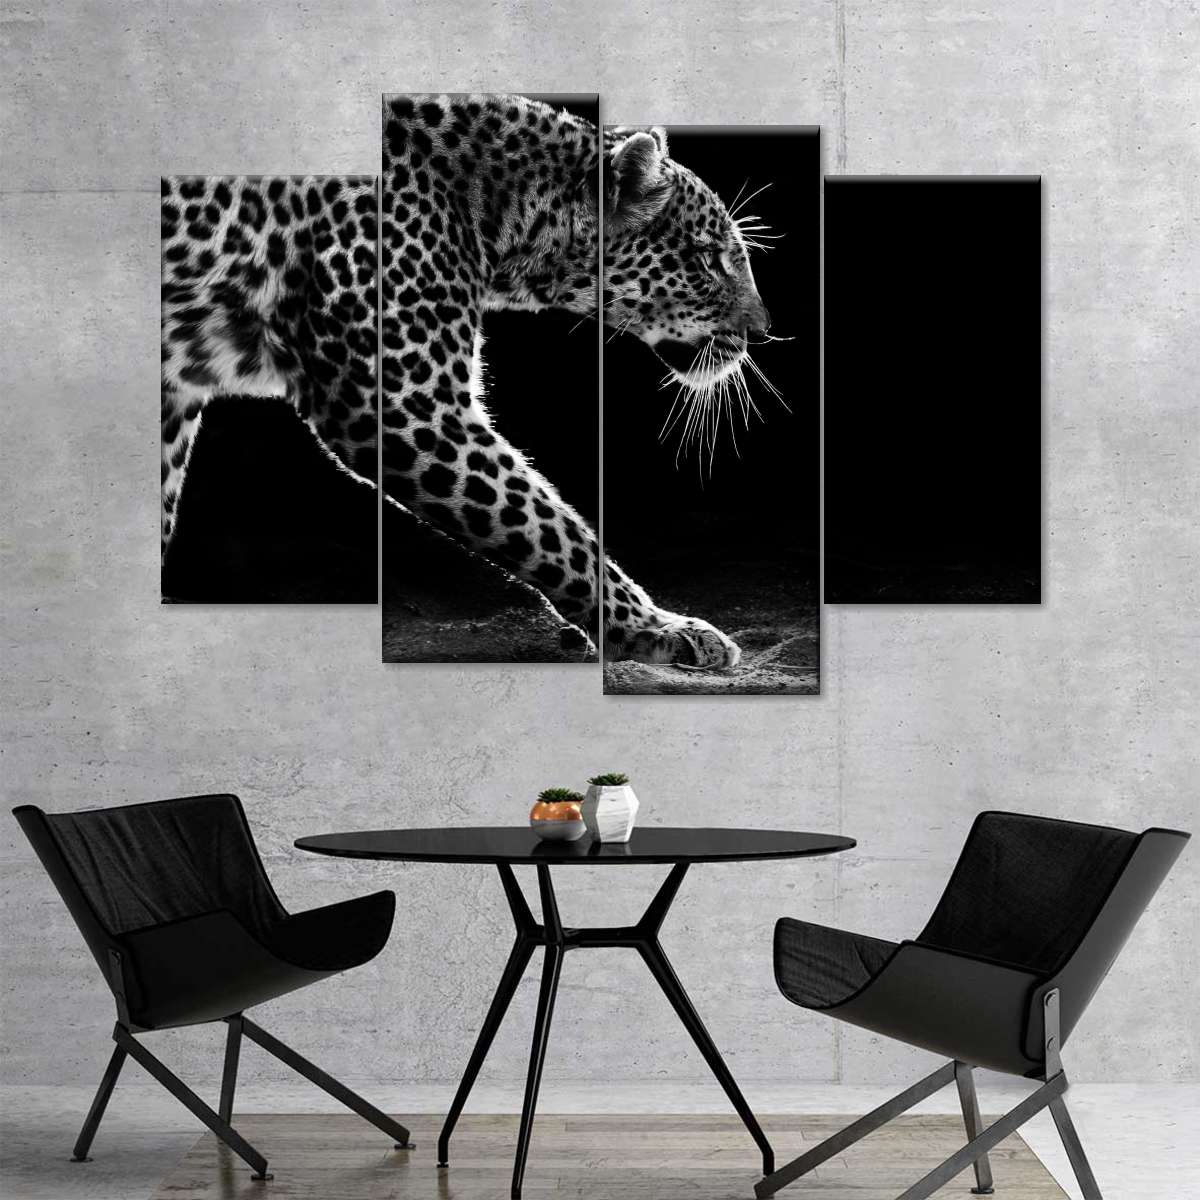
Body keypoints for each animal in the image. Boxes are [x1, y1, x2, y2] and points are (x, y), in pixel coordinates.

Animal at [160, 94, 772, 668]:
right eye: (711, 259)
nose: (762, 331)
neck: (503, 207)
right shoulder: (407, 403)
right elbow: (550, 528)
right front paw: (656, 630)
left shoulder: (175, 390)